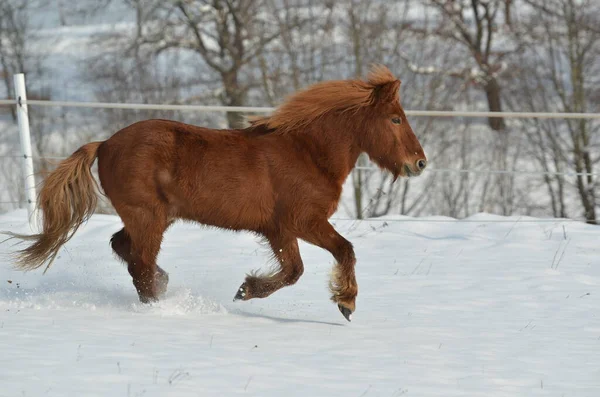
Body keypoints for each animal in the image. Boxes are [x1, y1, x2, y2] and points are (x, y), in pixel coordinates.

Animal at [4, 64, 426, 318]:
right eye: (395, 119)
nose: (419, 163)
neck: (306, 152)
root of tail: (105, 143)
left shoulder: (279, 230)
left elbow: (294, 270)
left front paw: (247, 289)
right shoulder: (303, 221)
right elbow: (340, 252)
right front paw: (345, 301)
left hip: (154, 218)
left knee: (127, 251)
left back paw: (164, 284)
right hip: (148, 217)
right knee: (139, 265)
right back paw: (160, 305)